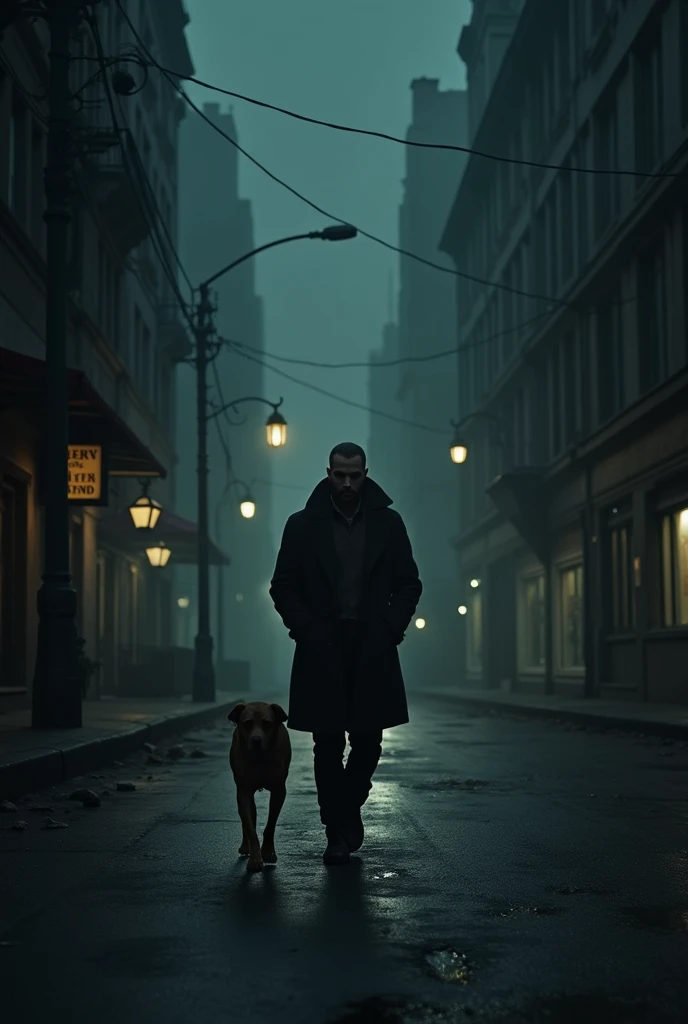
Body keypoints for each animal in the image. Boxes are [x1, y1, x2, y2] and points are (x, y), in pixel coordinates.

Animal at [227, 700, 288, 868]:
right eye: (247, 723)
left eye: (267, 723)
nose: (256, 740)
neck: (260, 757)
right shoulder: (243, 791)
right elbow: (249, 827)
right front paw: (255, 858)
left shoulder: (279, 790)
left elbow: (271, 824)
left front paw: (267, 852)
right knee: (248, 818)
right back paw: (245, 846)